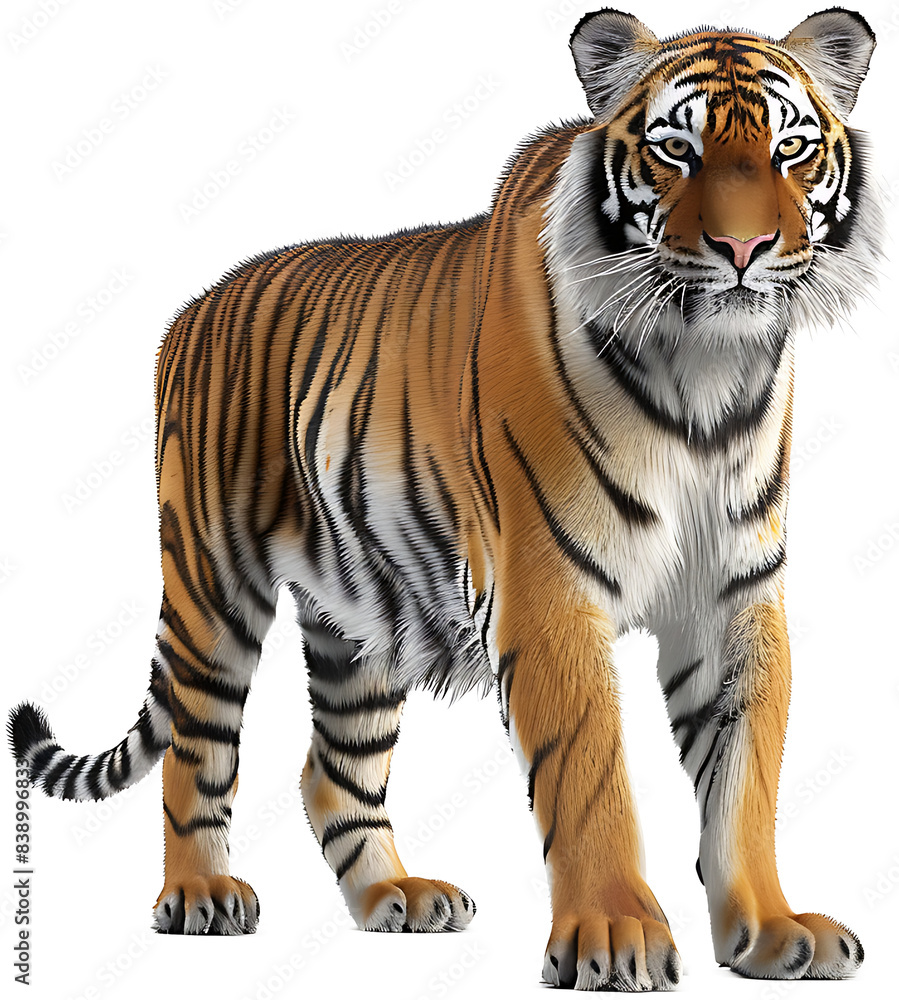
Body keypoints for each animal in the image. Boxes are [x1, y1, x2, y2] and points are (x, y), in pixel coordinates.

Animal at [8, 6, 881, 991]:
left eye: (790, 148)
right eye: (675, 150)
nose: (742, 251)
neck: (705, 373)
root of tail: (190, 310)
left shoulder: (733, 597)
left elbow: (745, 779)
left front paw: (772, 931)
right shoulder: (547, 593)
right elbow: (590, 776)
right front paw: (613, 933)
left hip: (361, 618)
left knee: (330, 770)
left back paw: (397, 897)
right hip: (210, 587)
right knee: (196, 752)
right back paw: (200, 895)